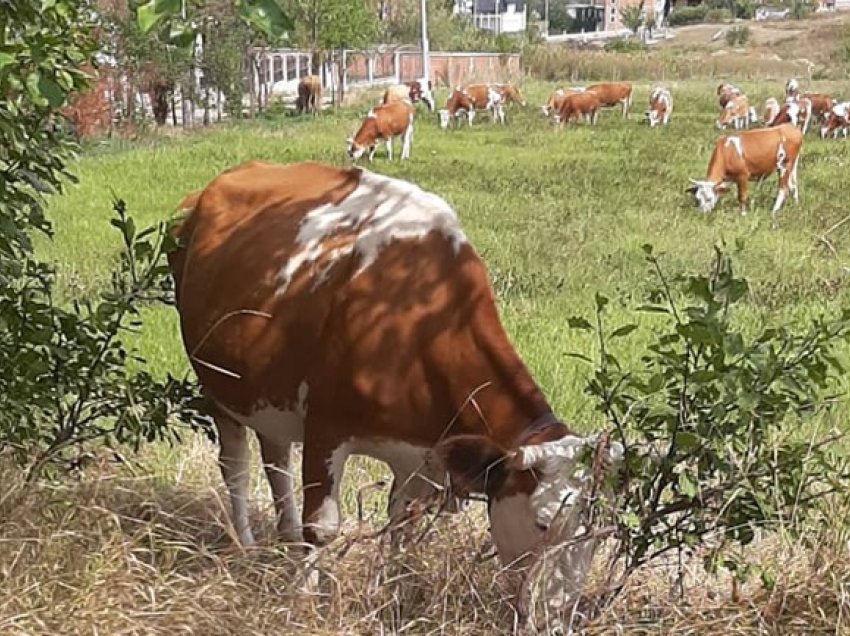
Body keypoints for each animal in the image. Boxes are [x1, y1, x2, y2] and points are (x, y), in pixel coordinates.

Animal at [169, 159, 624, 608]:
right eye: (543, 523)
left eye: (598, 531)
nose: (558, 610)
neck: (416, 322)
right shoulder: (325, 428)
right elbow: (322, 528)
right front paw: (304, 600)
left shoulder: (420, 454)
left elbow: (401, 526)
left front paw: (387, 594)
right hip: (218, 386)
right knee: (236, 467)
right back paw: (245, 548)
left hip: (267, 392)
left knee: (275, 460)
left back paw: (284, 539)